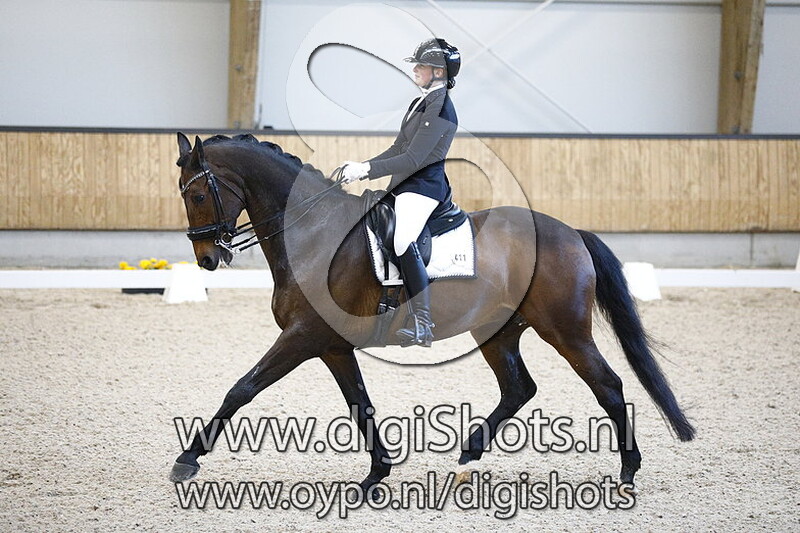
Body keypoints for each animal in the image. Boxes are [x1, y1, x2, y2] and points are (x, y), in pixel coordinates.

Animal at [169, 132, 695, 493]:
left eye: (197, 195)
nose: (207, 259)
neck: (313, 233)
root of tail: (571, 232)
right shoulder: (332, 345)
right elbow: (360, 405)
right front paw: (376, 475)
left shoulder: (302, 336)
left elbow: (243, 388)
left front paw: (187, 459)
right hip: (497, 331)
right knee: (519, 388)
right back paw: (468, 454)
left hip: (565, 330)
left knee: (607, 384)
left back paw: (627, 470)